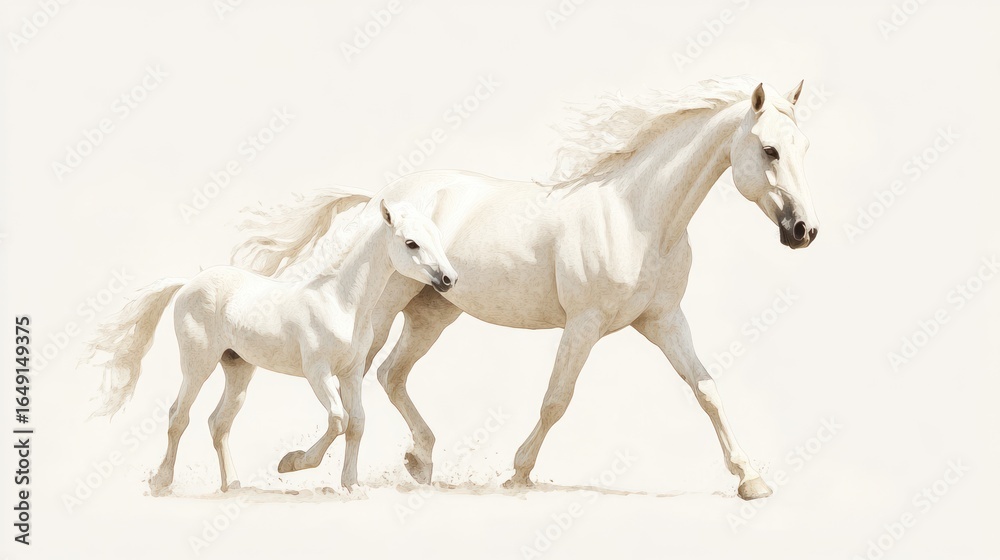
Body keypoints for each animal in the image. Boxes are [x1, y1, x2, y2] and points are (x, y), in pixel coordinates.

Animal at [84, 196, 459, 494]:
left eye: (437, 238)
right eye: (411, 243)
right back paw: (161, 482)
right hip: (197, 365)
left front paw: (352, 485)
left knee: (218, 423)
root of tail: (190, 282)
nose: (449, 279)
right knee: (179, 416)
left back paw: (233, 486)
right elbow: (337, 419)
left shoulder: (351, 373)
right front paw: (291, 462)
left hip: (238, 369)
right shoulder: (318, 373)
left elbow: (357, 423)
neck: (341, 302)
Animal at [232, 77, 819, 500]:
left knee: (391, 374)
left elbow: (707, 390)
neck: (638, 217)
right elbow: (557, 399)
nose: (804, 232)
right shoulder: (584, 324)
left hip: (434, 311)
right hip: (385, 309)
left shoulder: (663, 319)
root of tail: (388, 198)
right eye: (770, 150)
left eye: (804, 148)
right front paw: (517, 473)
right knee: (358, 380)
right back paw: (302, 463)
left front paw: (751, 480)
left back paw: (419, 461)